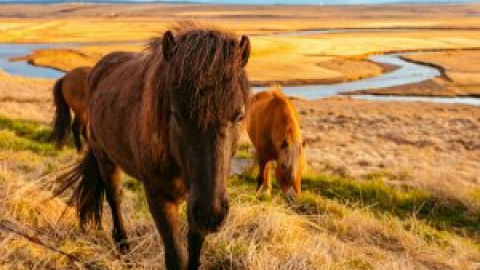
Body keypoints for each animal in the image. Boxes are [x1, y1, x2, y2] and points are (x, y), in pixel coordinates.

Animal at [56, 23, 251, 270]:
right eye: (176, 114)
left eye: (239, 116)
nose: (211, 214)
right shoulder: (160, 197)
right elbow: (176, 257)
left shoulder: (197, 201)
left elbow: (194, 251)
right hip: (105, 159)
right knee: (115, 198)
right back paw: (123, 246)